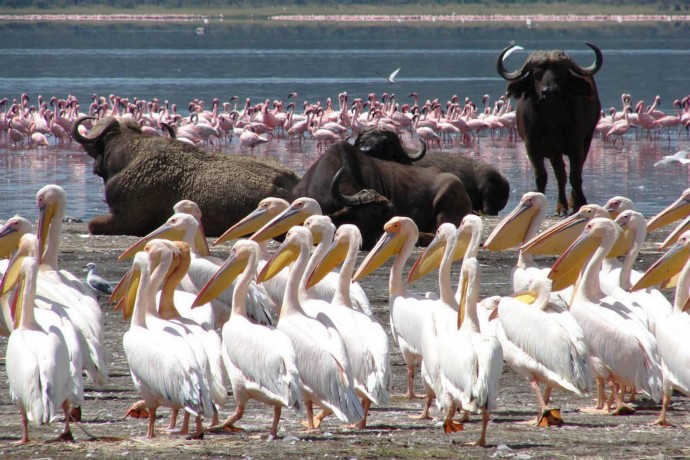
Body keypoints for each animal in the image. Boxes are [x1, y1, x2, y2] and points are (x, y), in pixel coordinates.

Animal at [494, 43, 600, 216]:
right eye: (537, 74)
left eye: (561, 74)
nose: (549, 92)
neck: (552, 120)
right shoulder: (535, 146)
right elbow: (543, 175)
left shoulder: (576, 144)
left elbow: (575, 175)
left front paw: (579, 203)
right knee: (560, 174)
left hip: (587, 139)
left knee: (575, 172)